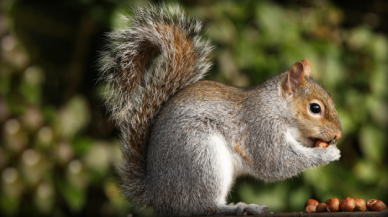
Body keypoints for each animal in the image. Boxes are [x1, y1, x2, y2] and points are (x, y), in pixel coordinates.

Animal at [99, 3, 342, 217]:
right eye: (315, 108)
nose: (338, 135)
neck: (275, 107)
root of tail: (159, 196)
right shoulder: (261, 128)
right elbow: (276, 161)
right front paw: (328, 153)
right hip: (201, 156)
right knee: (202, 207)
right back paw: (240, 207)